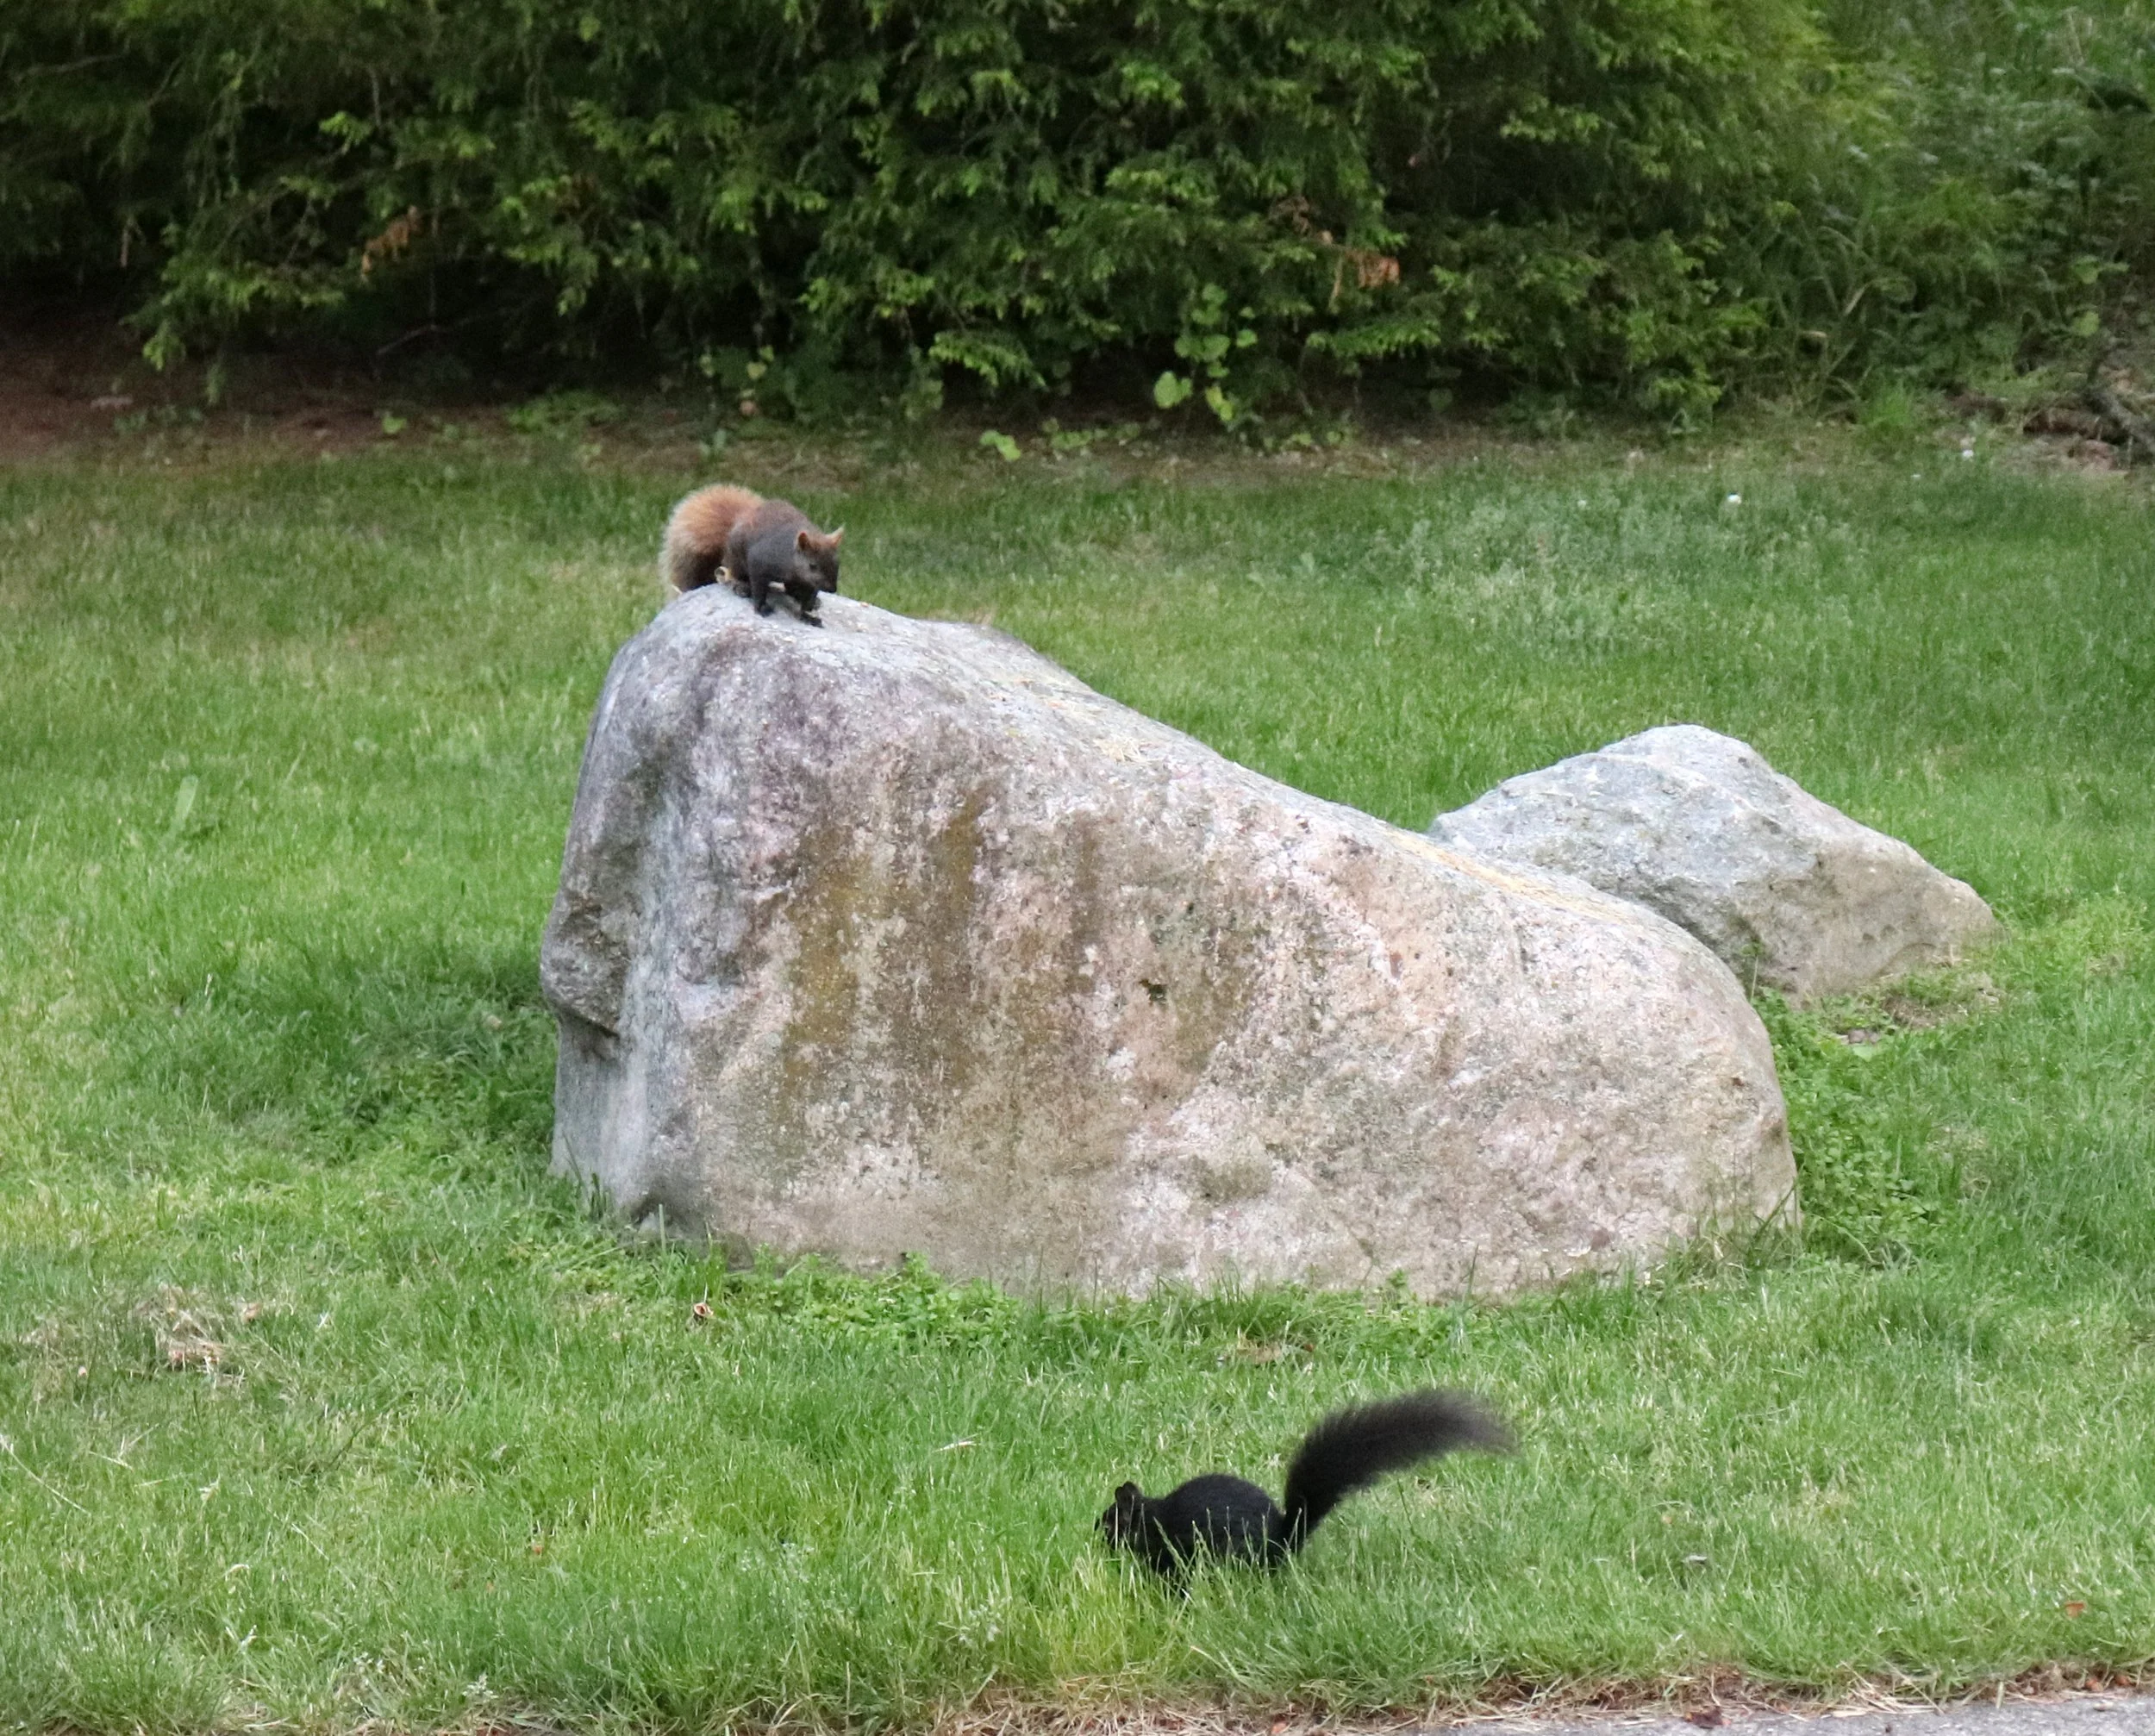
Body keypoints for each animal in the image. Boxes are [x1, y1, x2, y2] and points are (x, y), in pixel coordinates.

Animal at [659, 483, 844, 626]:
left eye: (837, 563)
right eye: (812, 566)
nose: (832, 589)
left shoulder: (809, 584)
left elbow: (807, 599)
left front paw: (808, 614)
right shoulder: (760, 561)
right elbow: (759, 586)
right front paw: (761, 607)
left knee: (791, 590)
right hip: (736, 560)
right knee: (732, 572)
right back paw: (741, 585)